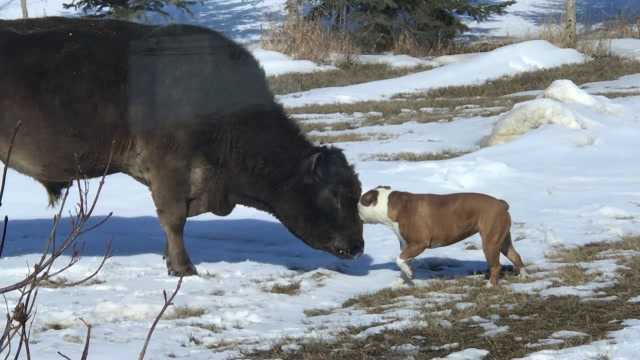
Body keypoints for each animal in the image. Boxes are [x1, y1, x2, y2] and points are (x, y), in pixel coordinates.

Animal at [360, 187, 524, 286]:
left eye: (360, 202)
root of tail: (501, 203)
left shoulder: (419, 244)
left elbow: (399, 259)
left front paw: (409, 274)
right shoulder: (407, 246)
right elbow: (403, 262)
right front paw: (403, 281)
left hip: (490, 242)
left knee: (496, 265)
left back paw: (490, 284)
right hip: (502, 241)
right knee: (516, 256)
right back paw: (523, 277)